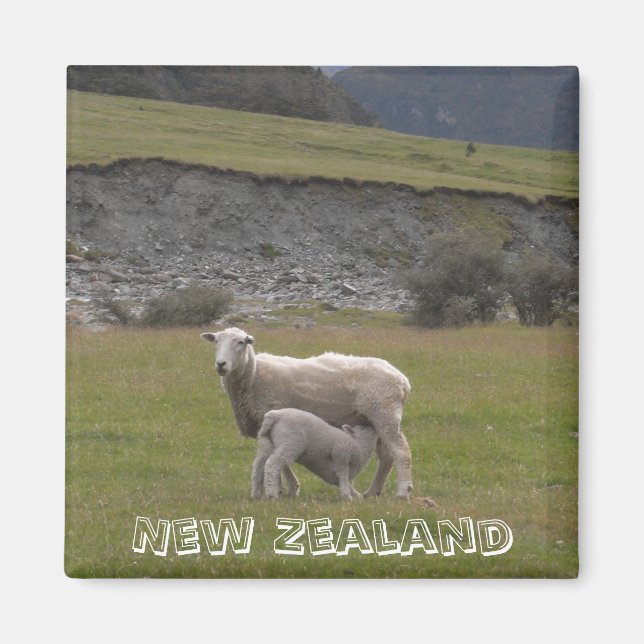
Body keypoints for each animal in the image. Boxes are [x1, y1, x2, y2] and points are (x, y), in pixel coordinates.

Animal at [201, 327, 414, 499]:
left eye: (241, 342)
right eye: (216, 341)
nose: (221, 364)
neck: (253, 376)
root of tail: (402, 380)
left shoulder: (273, 414)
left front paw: (285, 488)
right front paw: (285, 488)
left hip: (384, 414)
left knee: (400, 452)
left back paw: (403, 492)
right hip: (371, 419)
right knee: (386, 456)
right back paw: (373, 491)